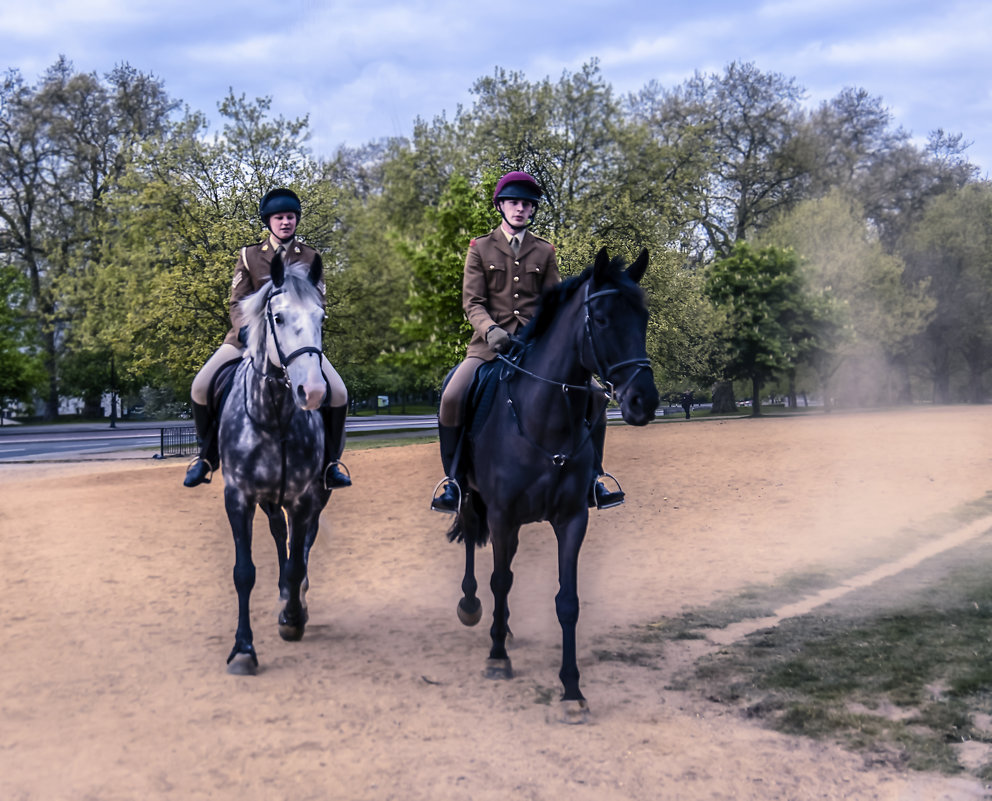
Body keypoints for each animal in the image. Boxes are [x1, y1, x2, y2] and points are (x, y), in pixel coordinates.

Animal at [218, 252, 334, 676]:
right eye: (279, 317)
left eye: (321, 318)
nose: (312, 391)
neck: (274, 415)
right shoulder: (238, 497)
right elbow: (244, 572)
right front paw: (243, 649)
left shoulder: (303, 498)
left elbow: (299, 560)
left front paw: (293, 618)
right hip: (268, 499)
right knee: (278, 535)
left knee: (302, 545)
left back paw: (294, 599)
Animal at [448, 247, 660, 720]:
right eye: (602, 319)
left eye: (644, 318)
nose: (645, 401)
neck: (543, 420)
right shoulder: (502, 515)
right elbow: (500, 580)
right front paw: (497, 659)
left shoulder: (571, 519)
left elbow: (568, 601)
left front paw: (571, 689)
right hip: (473, 498)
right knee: (475, 543)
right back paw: (473, 608)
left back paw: (504, 627)